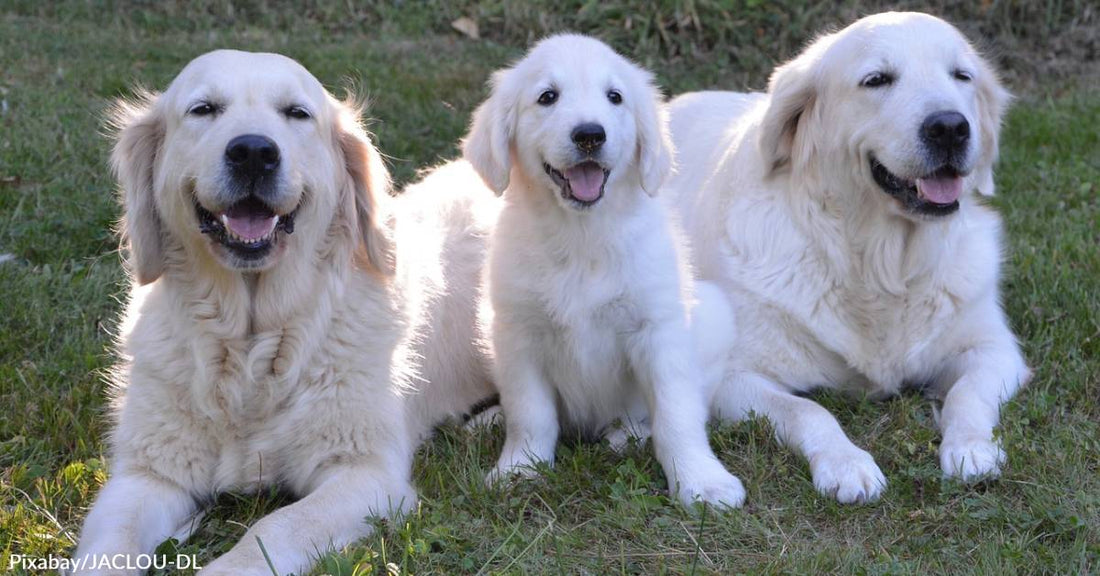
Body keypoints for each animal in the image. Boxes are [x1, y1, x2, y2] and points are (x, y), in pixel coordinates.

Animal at [72, 50, 495, 576]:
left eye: (297, 113)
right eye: (203, 109)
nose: (253, 152)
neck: (253, 342)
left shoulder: (364, 472)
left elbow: (270, 530)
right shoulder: (148, 473)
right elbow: (111, 543)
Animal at [464, 34, 748, 507]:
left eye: (615, 97)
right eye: (548, 97)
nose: (590, 135)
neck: (582, 235)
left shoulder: (658, 329)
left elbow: (677, 413)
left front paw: (701, 480)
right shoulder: (518, 332)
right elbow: (530, 412)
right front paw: (520, 468)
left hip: (714, 314)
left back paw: (626, 435)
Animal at [660, 10, 1029, 503]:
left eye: (961, 76)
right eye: (877, 80)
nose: (950, 127)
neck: (879, 263)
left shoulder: (994, 349)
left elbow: (967, 393)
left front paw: (972, 447)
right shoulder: (732, 376)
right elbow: (809, 411)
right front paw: (847, 464)